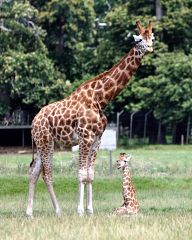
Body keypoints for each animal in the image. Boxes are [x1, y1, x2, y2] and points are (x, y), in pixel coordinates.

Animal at [25, 19, 154, 217]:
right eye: (139, 39)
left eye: (152, 38)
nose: (150, 48)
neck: (100, 99)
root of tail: (34, 121)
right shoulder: (85, 138)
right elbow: (81, 173)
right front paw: (80, 210)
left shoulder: (96, 140)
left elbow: (90, 175)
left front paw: (90, 210)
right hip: (45, 142)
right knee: (47, 173)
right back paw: (58, 211)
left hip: (42, 144)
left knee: (34, 172)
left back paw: (29, 213)